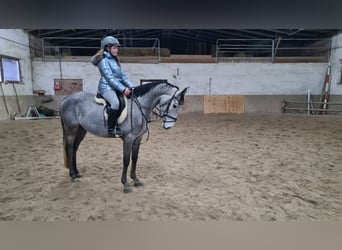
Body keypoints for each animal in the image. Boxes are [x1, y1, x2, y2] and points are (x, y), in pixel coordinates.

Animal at [59, 82, 188, 193]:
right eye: (175, 105)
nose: (168, 126)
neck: (139, 106)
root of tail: (66, 98)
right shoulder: (128, 138)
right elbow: (126, 160)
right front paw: (125, 184)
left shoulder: (137, 139)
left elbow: (135, 159)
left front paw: (135, 180)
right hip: (71, 130)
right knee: (70, 149)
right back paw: (73, 176)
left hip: (81, 130)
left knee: (75, 148)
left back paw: (76, 173)